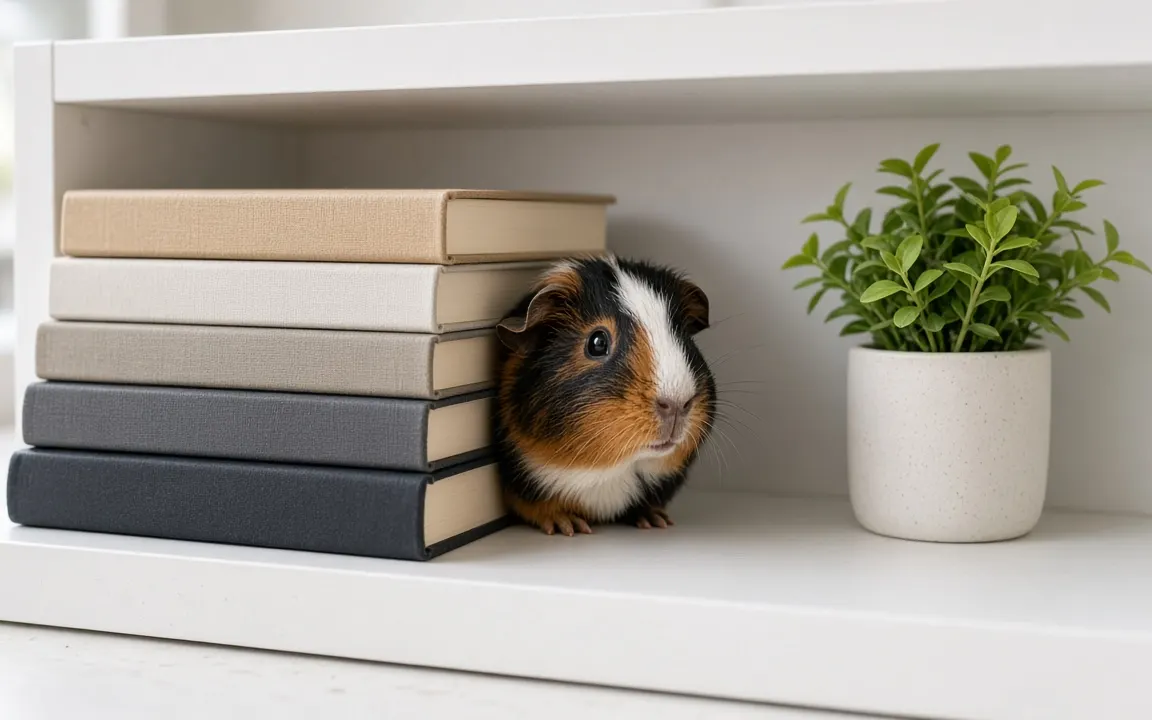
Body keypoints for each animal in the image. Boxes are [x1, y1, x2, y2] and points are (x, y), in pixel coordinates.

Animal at [494, 254, 715, 536]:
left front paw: (656, 520)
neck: (612, 470)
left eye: (684, 337)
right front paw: (569, 525)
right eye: (597, 342)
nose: (677, 403)